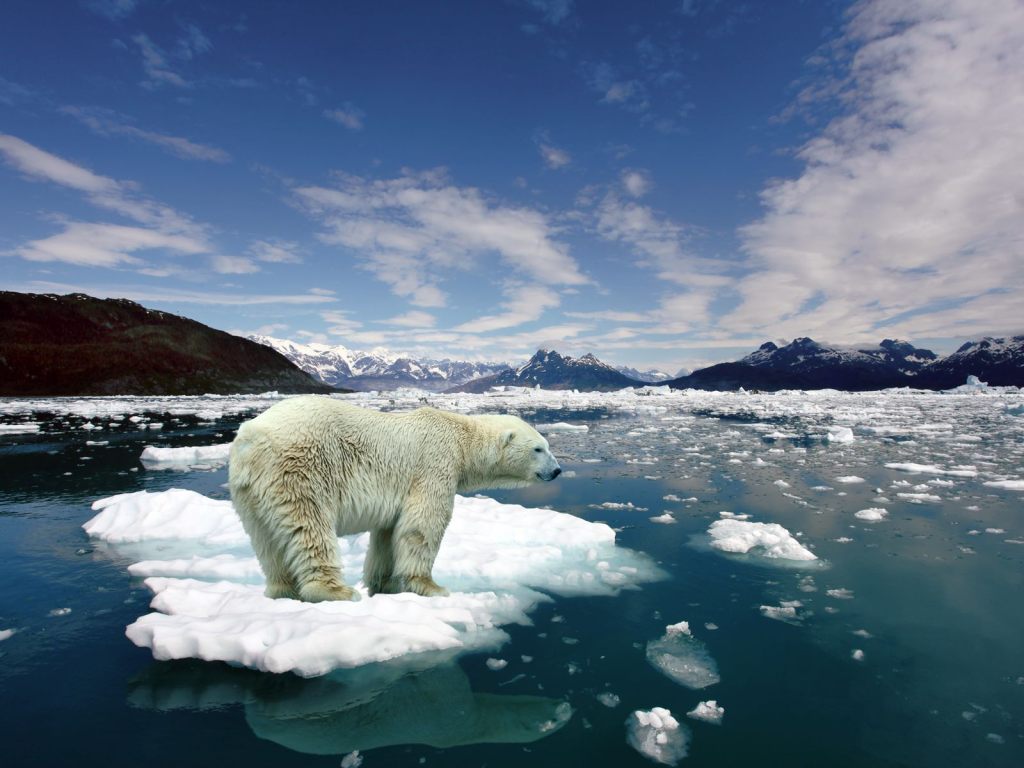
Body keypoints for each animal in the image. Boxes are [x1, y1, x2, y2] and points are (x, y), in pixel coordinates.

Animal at [228, 396, 561, 602]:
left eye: (546, 445)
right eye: (538, 449)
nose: (557, 470)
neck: (461, 437)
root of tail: (251, 438)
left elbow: (388, 534)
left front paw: (384, 584)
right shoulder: (435, 464)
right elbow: (423, 525)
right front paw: (431, 587)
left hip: (249, 491)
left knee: (266, 540)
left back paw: (282, 591)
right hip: (300, 468)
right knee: (309, 527)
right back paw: (336, 591)